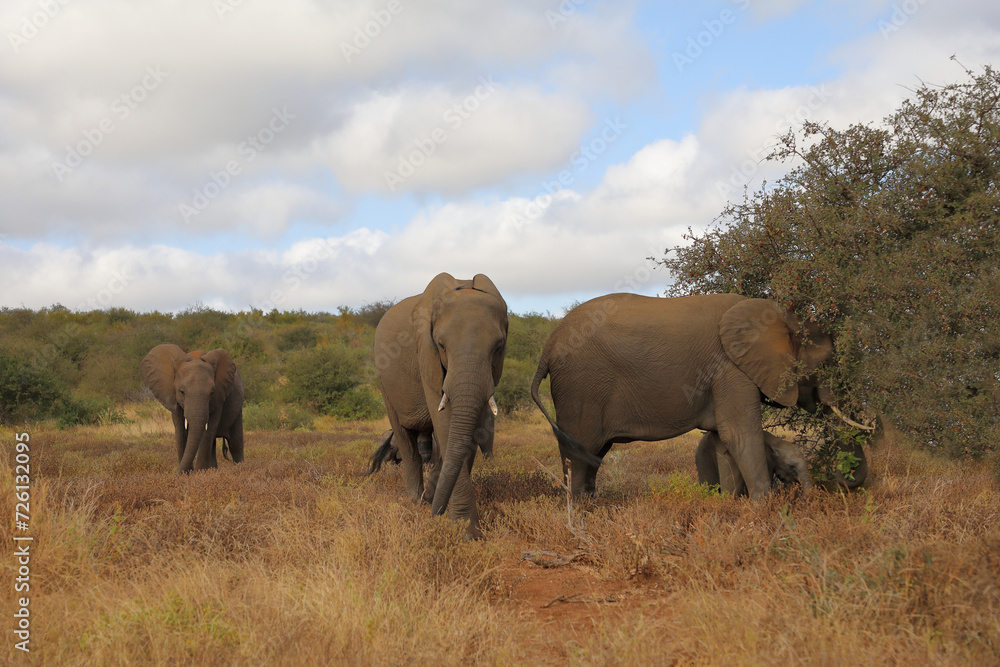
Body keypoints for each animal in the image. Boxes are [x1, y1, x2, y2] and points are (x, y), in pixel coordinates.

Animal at [140, 344, 244, 473]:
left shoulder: (219, 397)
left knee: (235, 442)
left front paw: (199, 473)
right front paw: (188, 474)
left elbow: (208, 432)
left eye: (212, 393)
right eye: (181, 392)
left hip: (238, 407)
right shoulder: (174, 398)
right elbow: (180, 431)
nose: (176, 474)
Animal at [531, 293, 867, 499]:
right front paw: (765, 509)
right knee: (581, 451)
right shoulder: (730, 367)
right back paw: (579, 513)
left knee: (594, 453)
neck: (783, 317)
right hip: (580, 385)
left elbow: (723, 439)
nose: (844, 483)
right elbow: (740, 434)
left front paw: (732, 504)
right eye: (828, 363)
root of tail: (548, 346)